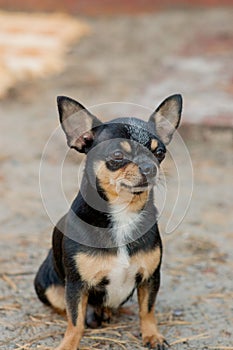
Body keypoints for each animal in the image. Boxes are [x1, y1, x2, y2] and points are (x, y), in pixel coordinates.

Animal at [34, 93, 182, 350]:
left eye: (160, 153)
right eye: (117, 156)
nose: (150, 167)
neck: (124, 212)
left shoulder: (150, 278)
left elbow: (148, 310)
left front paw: (152, 335)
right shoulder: (76, 285)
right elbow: (75, 321)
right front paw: (68, 344)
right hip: (46, 285)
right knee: (66, 308)